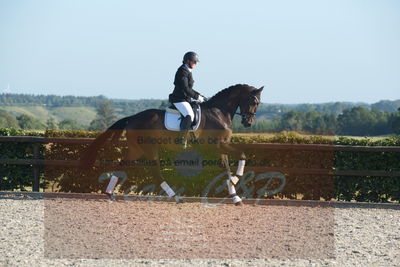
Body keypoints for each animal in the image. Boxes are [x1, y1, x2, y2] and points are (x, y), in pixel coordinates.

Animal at [81, 85, 262, 206]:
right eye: (253, 101)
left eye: (258, 103)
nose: (248, 122)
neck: (218, 112)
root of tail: (132, 117)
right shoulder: (216, 146)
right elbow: (241, 156)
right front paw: (236, 179)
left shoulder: (221, 147)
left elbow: (226, 169)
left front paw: (235, 195)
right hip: (149, 149)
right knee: (156, 173)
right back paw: (176, 197)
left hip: (136, 150)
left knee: (121, 167)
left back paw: (109, 193)